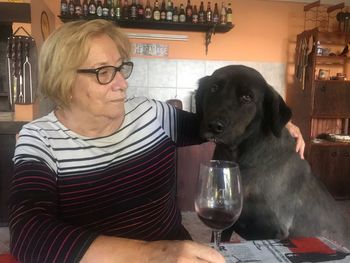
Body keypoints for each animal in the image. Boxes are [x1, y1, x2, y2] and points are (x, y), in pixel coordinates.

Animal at [196, 65, 348, 246]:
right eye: (214, 88)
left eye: (247, 97)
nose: (214, 126)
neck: (240, 159)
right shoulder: (226, 224)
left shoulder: (273, 230)